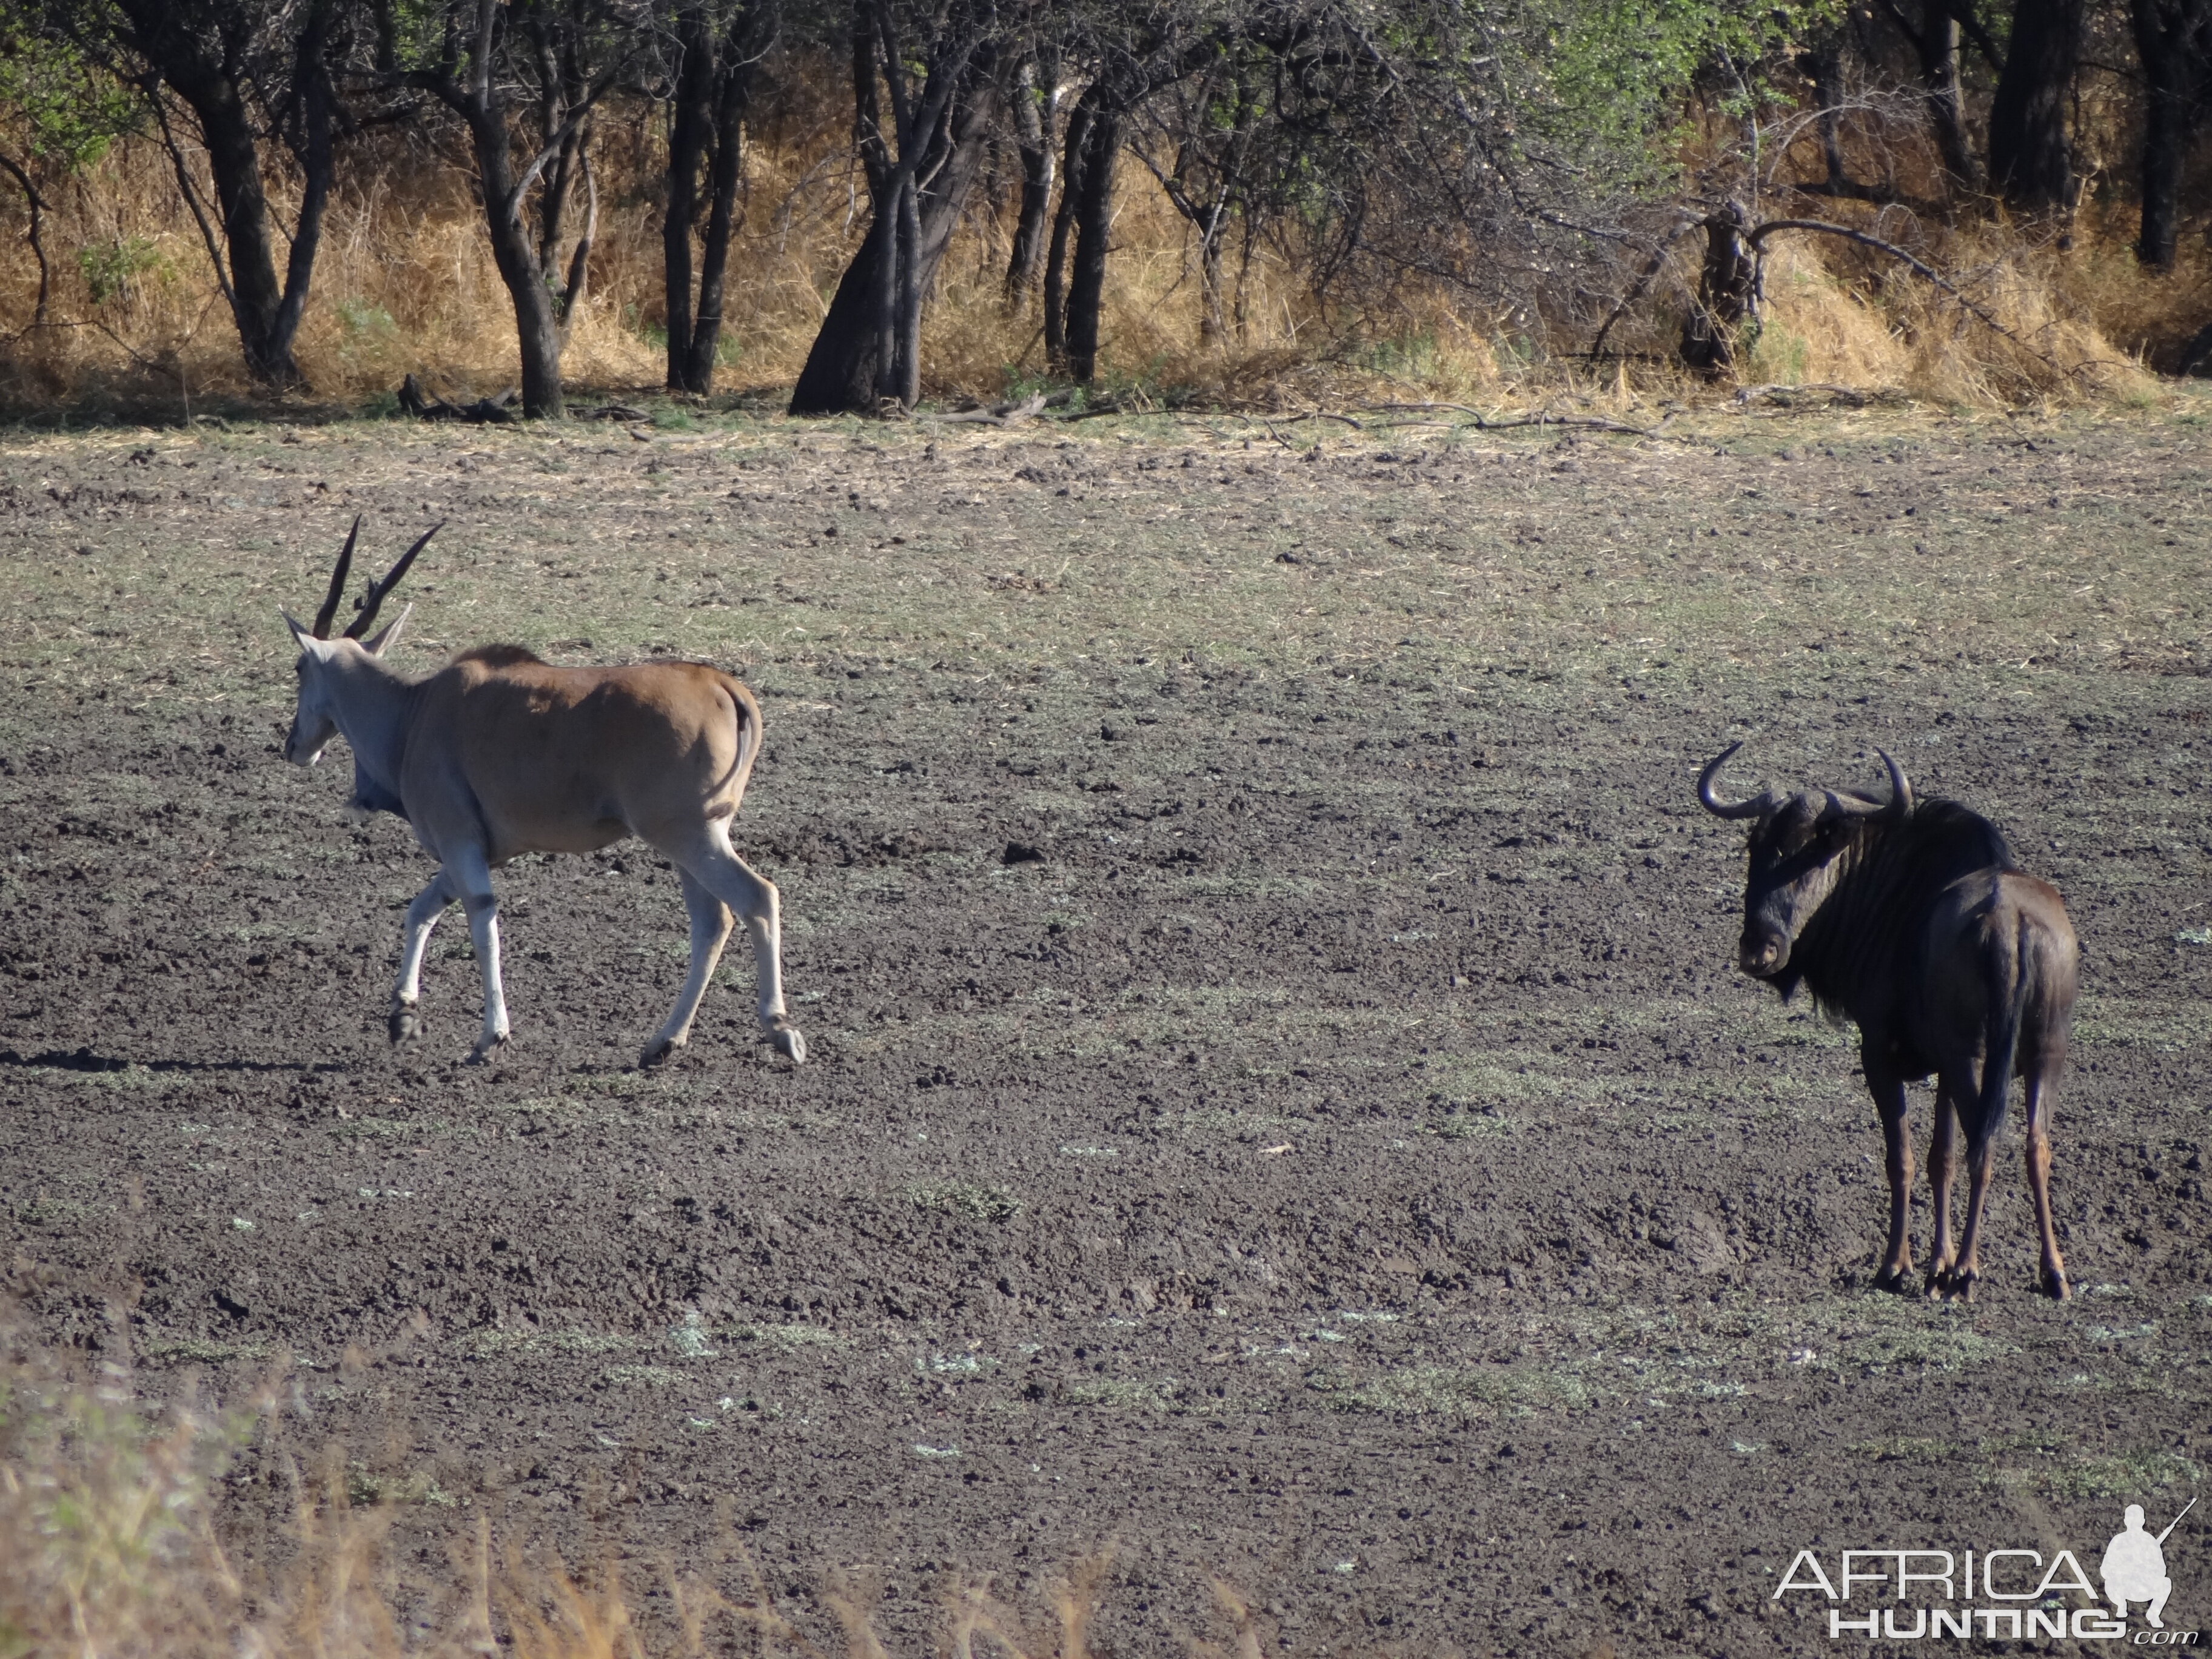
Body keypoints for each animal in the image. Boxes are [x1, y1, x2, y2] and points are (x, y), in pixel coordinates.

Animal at [278, 517, 805, 1066]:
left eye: (298, 668)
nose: (294, 746)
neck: (413, 713)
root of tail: (723, 685)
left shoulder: (460, 842)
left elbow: (481, 923)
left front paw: (490, 1037)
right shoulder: (477, 850)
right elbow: (422, 909)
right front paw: (403, 1015)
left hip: (688, 836)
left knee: (757, 897)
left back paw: (780, 1029)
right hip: (691, 841)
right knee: (711, 922)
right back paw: (664, 1042)